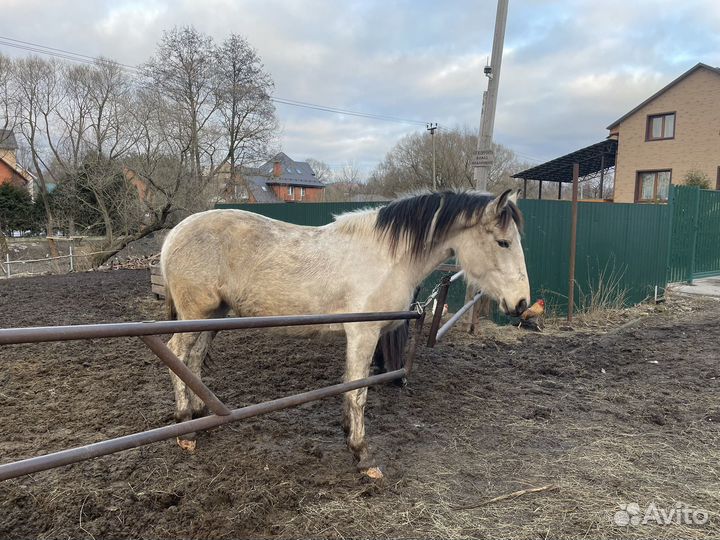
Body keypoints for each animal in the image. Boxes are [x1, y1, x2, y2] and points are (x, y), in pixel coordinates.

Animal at [160, 189, 530, 477]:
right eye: (503, 242)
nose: (522, 303)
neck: (388, 256)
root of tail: (173, 235)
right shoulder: (363, 334)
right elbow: (358, 391)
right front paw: (362, 454)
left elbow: (348, 383)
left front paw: (347, 431)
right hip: (196, 315)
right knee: (177, 353)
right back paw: (184, 425)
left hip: (213, 316)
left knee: (193, 359)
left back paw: (199, 413)